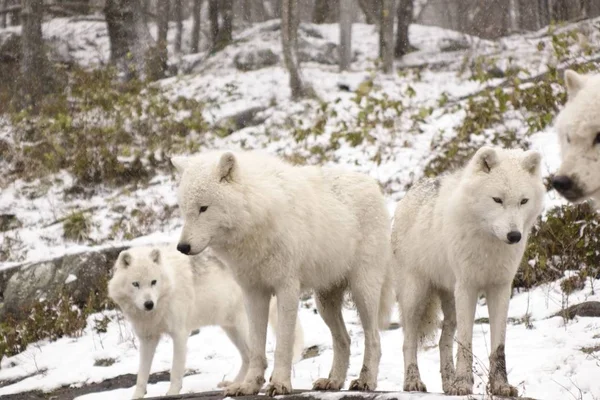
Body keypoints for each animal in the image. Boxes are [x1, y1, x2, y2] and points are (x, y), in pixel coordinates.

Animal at [106, 245, 304, 398]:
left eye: (153, 282)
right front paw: (137, 396)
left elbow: (175, 371)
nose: (148, 304)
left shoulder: (180, 334)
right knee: (247, 357)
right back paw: (233, 384)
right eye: (136, 284)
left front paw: (172, 393)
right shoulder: (147, 339)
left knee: (258, 357)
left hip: (243, 327)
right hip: (231, 330)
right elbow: (141, 375)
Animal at [171, 151, 396, 396]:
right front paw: (249, 385)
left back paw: (366, 381)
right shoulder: (253, 293)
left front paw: (279, 383)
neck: (256, 215)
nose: (182, 247)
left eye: (203, 208)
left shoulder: (286, 288)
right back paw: (333, 381)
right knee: (343, 340)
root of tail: (372, 184)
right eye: (184, 210)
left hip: (363, 292)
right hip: (324, 302)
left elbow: (282, 345)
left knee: (373, 338)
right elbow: (256, 347)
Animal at [392, 148, 548, 396]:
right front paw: (463, 384)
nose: (514, 236)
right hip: (415, 297)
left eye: (523, 201)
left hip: (450, 302)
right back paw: (413, 382)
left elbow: (498, 345)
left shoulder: (501, 288)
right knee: (408, 342)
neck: (489, 244)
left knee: (443, 341)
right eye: (497, 200)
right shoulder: (468, 287)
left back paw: (448, 384)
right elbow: (465, 342)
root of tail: (410, 192)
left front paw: (500, 386)